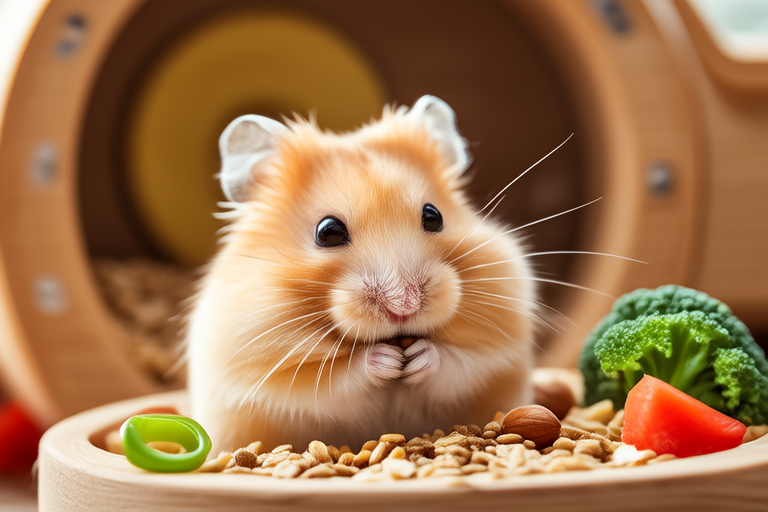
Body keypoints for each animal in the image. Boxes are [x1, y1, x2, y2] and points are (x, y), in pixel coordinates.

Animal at [186, 95, 537, 452]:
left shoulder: (497, 350)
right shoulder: (274, 375)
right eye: (327, 232)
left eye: (434, 216)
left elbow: (463, 361)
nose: (404, 306)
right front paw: (385, 359)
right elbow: (334, 379)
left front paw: (420, 356)